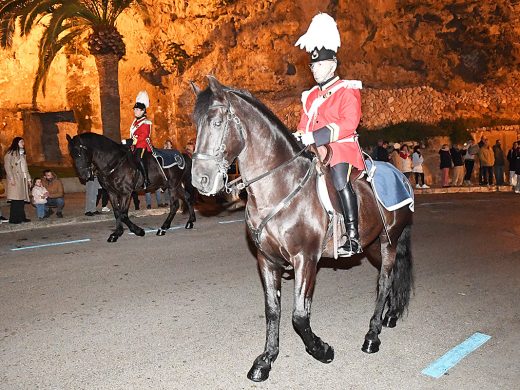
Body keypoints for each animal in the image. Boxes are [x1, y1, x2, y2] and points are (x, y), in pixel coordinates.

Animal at [65, 133, 195, 241]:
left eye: (80, 153)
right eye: (71, 154)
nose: (84, 175)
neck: (113, 162)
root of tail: (182, 155)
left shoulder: (126, 192)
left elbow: (123, 214)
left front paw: (138, 231)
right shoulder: (112, 192)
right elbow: (117, 213)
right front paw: (117, 233)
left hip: (173, 185)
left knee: (175, 205)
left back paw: (163, 228)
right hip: (175, 185)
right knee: (187, 197)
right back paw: (190, 221)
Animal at [191, 77, 414, 382]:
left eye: (216, 122)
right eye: (195, 124)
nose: (199, 180)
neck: (280, 186)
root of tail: (400, 174)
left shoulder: (305, 258)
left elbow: (298, 315)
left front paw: (321, 349)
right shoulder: (267, 260)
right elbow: (273, 310)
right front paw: (266, 360)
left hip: (388, 241)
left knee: (384, 282)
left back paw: (372, 334)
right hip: (372, 245)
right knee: (389, 277)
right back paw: (389, 315)